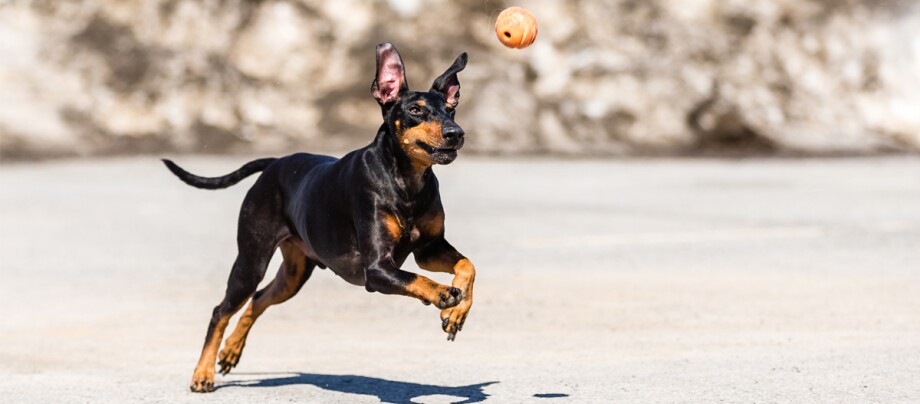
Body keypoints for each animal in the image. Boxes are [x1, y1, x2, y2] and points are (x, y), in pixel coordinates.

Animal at [165, 43, 478, 392]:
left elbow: (467, 266)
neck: (407, 181)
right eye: (415, 110)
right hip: (251, 262)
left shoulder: (429, 248)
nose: (456, 133)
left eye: (450, 110)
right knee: (221, 310)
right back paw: (202, 373)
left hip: (294, 275)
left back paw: (231, 351)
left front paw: (457, 312)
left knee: (258, 300)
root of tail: (274, 164)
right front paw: (443, 294)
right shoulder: (377, 270)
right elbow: (417, 279)